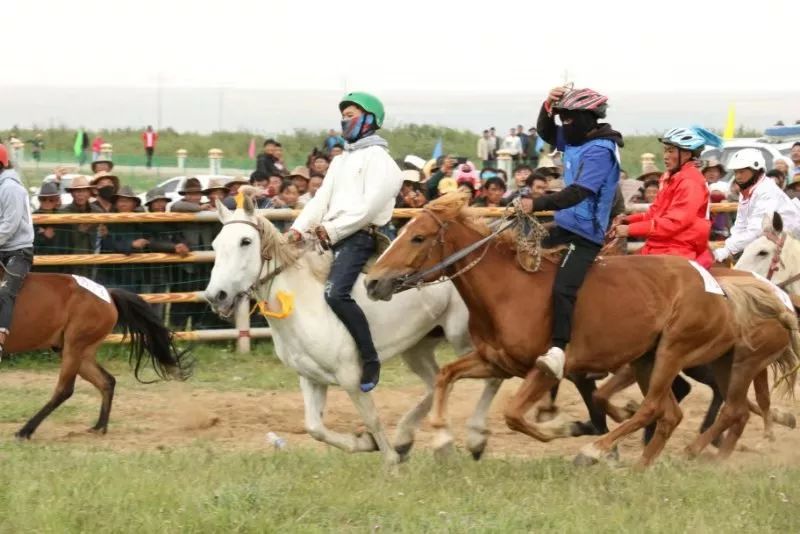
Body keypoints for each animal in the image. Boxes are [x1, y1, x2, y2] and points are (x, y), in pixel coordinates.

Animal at [2, 274, 194, 442]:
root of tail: (108, 295)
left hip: (74, 347)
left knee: (65, 390)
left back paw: (25, 431)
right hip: (80, 353)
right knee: (106, 381)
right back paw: (99, 427)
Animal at [205, 193, 500, 464]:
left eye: (246, 241)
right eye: (216, 244)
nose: (215, 295)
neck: (304, 304)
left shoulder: (352, 376)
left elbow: (372, 418)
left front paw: (390, 462)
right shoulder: (310, 377)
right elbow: (315, 428)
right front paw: (367, 444)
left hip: (464, 338)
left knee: (490, 377)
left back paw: (473, 439)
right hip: (417, 347)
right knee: (436, 382)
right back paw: (414, 440)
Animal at [366, 196, 796, 468]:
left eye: (418, 237)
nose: (372, 282)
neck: (509, 290)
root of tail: (721, 286)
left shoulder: (547, 369)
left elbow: (514, 415)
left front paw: (566, 428)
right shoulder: (495, 361)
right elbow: (445, 376)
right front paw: (440, 441)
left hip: (676, 352)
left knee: (663, 407)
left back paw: (597, 451)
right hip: (650, 359)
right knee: (673, 412)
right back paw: (644, 465)